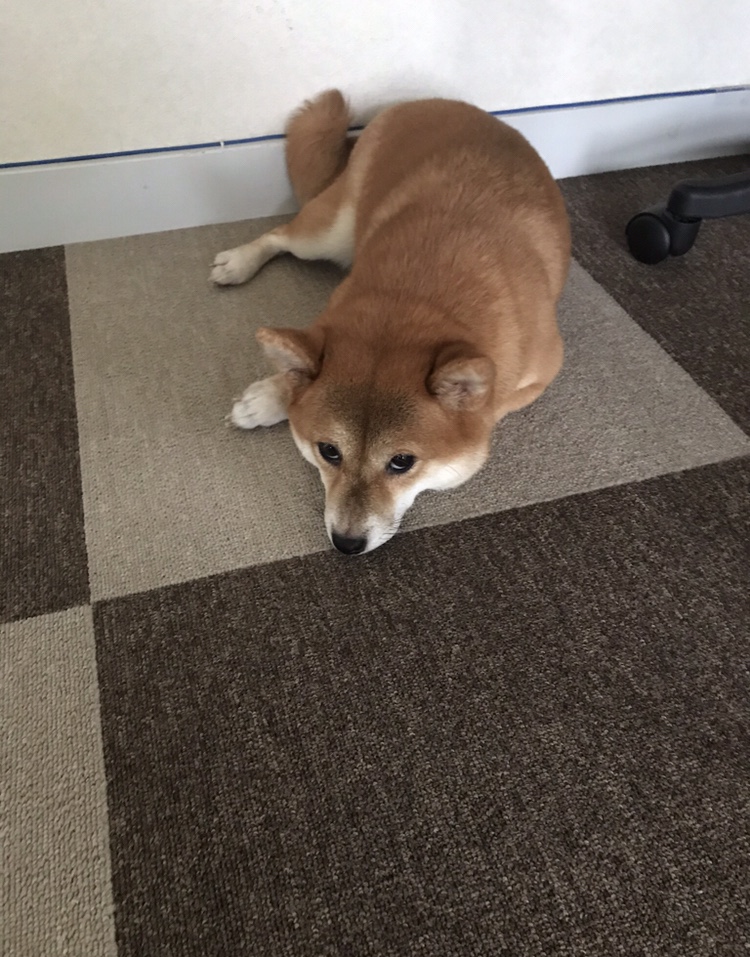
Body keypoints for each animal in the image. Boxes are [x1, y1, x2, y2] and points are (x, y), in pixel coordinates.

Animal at [212, 90, 570, 554]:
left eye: (402, 462)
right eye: (328, 451)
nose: (346, 544)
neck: (417, 299)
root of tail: (433, 101)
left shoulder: (541, 373)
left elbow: (494, 407)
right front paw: (272, 397)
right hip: (327, 234)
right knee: (279, 235)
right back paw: (239, 262)